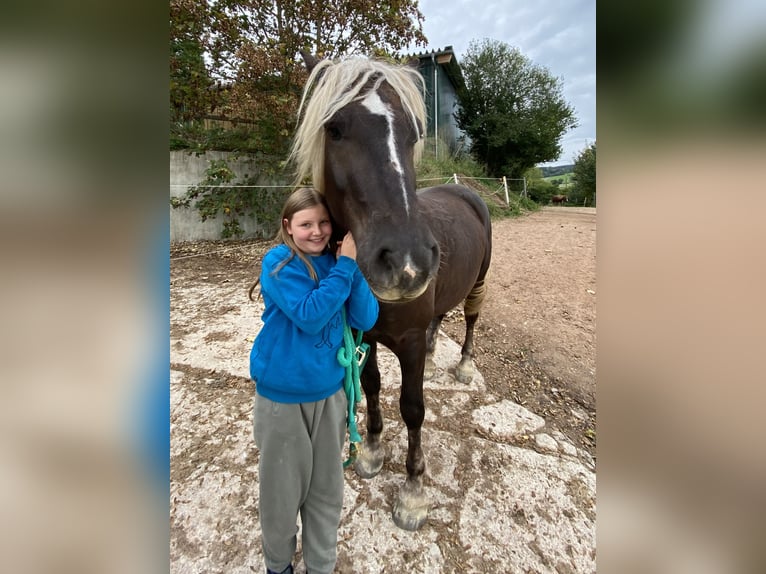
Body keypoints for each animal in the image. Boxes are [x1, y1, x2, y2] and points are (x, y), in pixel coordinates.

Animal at [291, 52, 492, 531]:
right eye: (334, 128)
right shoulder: (364, 336)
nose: (406, 260)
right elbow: (371, 385)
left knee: (470, 319)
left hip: (479, 282)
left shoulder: (409, 341)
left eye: (414, 134)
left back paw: (463, 366)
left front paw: (414, 492)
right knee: (441, 318)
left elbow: (413, 407)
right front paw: (371, 451)